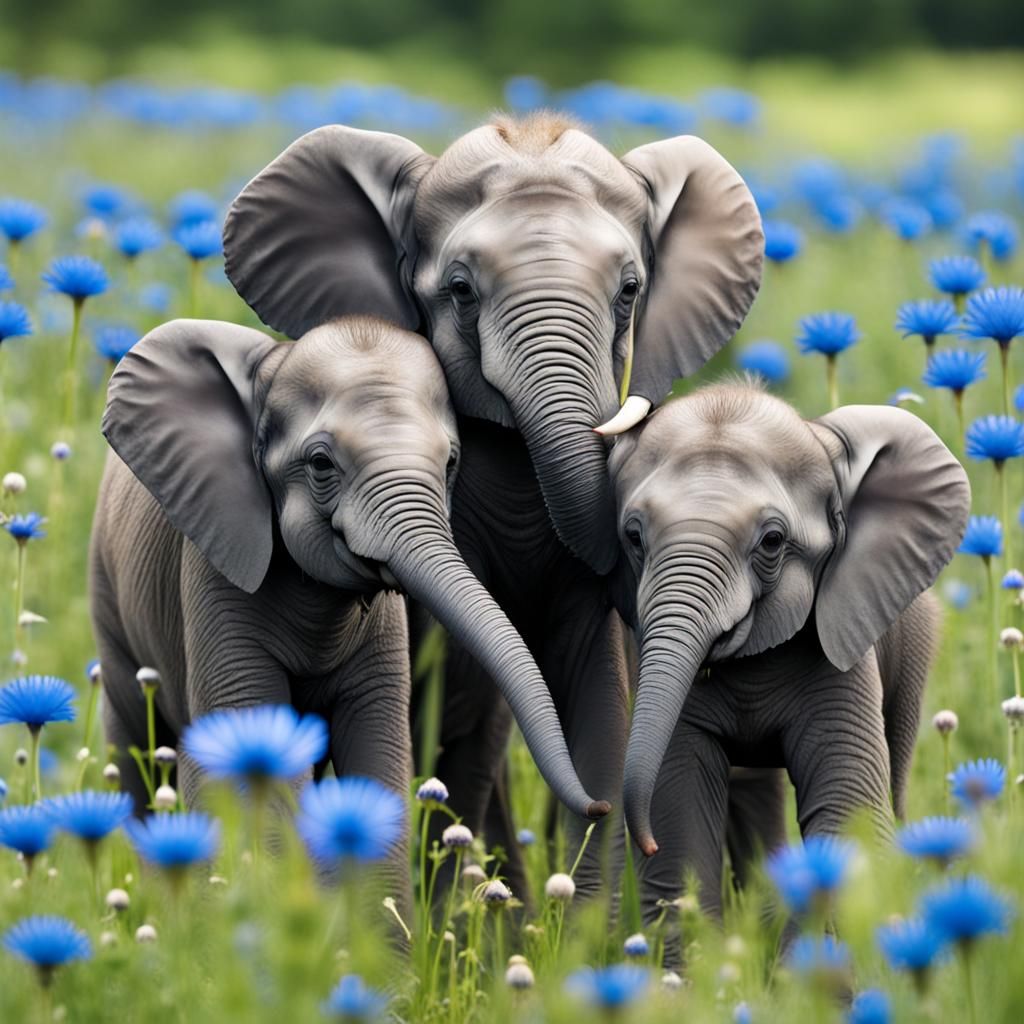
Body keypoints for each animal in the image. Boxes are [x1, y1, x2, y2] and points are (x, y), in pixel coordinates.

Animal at [88, 315, 608, 911]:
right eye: (320, 464)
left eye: (451, 462)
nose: (599, 806)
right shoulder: (216, 572)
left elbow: (377, 755)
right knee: (134, 743)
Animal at [606, 382, 970, 934]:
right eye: (633, 537)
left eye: (772, 541)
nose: (643, 840)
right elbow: (682, 818)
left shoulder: (838, 655)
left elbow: (847, 809)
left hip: (915, 646)